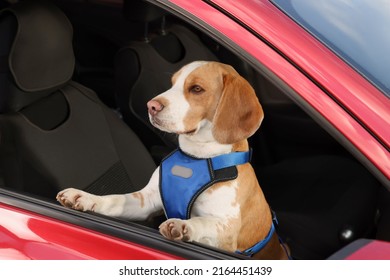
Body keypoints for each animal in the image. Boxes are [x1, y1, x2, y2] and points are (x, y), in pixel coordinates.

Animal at [58, 61, 290, 260]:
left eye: (196, 89)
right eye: (172, 84)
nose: (151, 105)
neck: (195, 157)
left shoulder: (227, 230)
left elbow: (203, 222)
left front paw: (184, 225)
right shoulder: (145, 201)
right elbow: (114, 199)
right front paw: (85, 197)